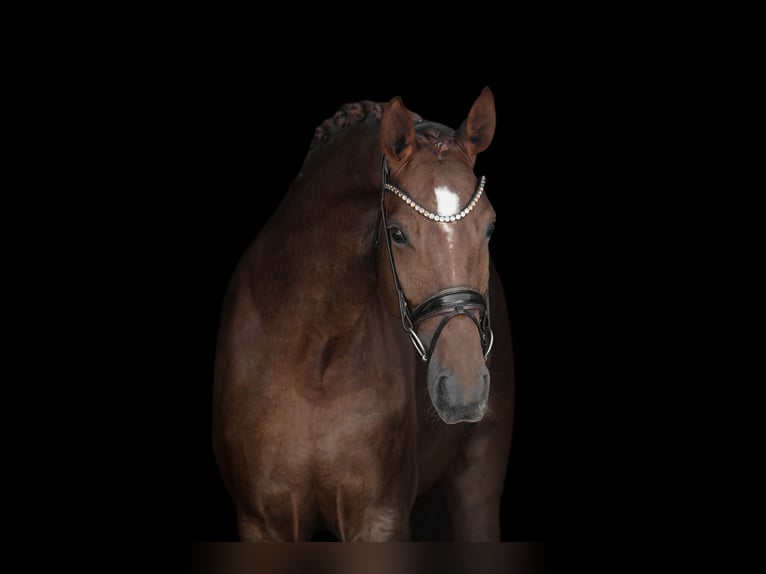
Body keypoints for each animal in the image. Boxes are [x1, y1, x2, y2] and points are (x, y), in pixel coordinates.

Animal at [212, 87, 514, 542]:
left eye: (490, 227)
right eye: (397, 233)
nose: (464, 387)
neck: (311, 359)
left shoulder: (380, 518)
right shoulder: (260, 523)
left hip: (477, 476)